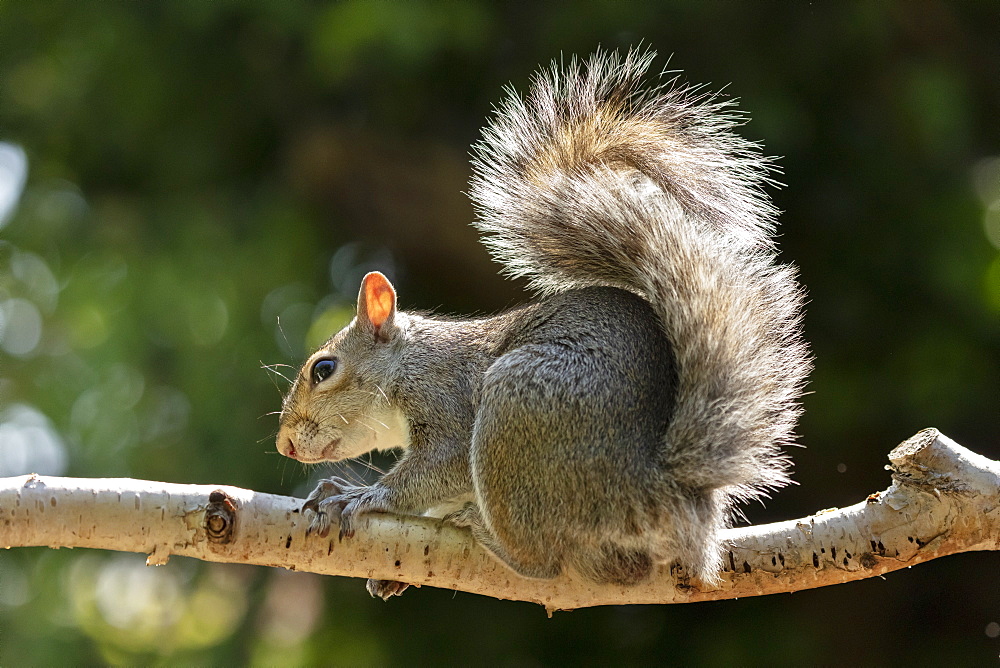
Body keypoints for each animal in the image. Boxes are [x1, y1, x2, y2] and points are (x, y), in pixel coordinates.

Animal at [276, 49, 812, 596]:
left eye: (324, 369)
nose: (285, 444)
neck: (409, 362)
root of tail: (656, 492)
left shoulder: (445, 399)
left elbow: (440, 466)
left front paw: (362, 496)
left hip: (517, 408)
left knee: (545, 560)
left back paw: (486, 532)